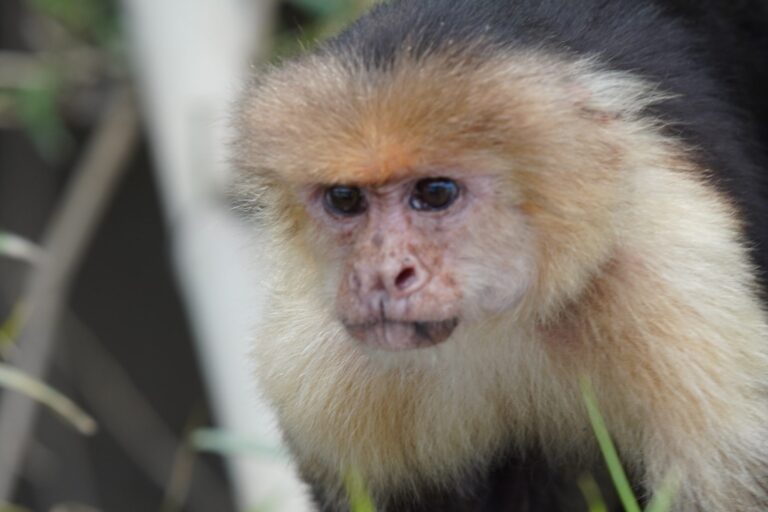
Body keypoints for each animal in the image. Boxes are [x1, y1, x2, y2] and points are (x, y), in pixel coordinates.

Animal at [233, 0, 768, 510]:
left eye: (435, 193)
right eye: (345, 199)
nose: (381, 275)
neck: (496, 325)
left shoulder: (666, 285)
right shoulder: (313, 367)